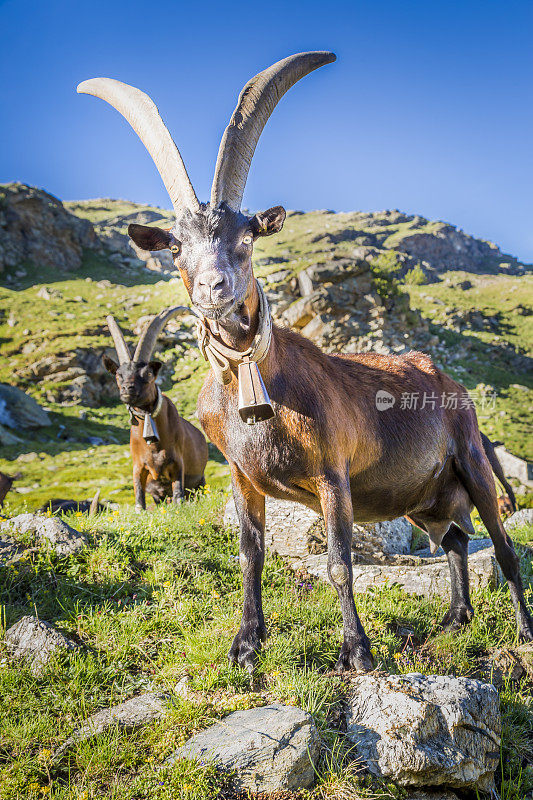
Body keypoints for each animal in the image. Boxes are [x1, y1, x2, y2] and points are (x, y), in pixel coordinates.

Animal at [103, 306, 207, 506]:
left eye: (148, 373)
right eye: (118, 374)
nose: (127, 388)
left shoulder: (177, 464)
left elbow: (178, 496)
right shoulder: (138, 467)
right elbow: (139, 501)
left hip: (200, 481)